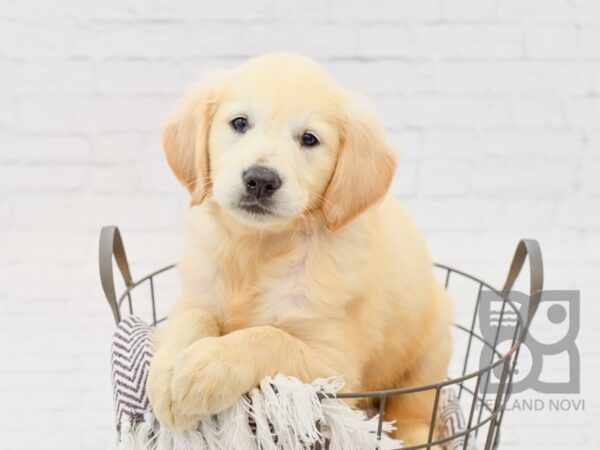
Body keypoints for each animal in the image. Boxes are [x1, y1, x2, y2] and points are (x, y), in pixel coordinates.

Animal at [148, 52, 452, 446]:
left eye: (309, 139)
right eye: (240, 123)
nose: (260, 180)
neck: (258, 246)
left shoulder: (335, 365)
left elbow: (268, 337)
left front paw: (204, 368)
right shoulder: (195, 296)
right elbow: (192, 318)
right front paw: (169, 370)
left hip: (430, 351)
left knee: (417, 410)